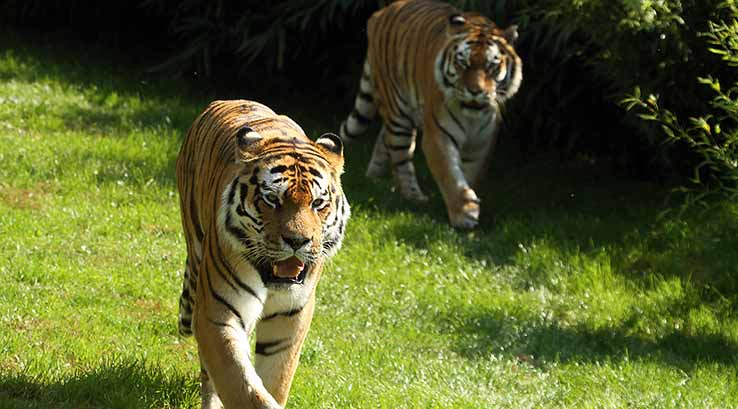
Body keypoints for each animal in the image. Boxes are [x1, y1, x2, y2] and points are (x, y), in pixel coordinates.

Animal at [176, 100, 350, 409]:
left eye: (318, 203)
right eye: (272, 199)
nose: (298, 241)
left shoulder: (290, 319)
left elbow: (275, 378)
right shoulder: (217, 312)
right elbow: (238, 381)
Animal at [339, 0, 522, 229]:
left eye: (491, 66)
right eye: (463, 64)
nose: (475, 91)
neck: (472, 116)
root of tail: (381, 12)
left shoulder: (484, 141)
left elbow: (471, 173)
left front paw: (469, 200)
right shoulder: (438, 135)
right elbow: (449, 173)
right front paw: (464, 213)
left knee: (385, 137)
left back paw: (374, 176)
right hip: (398, 111)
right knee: (400, 156)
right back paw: (413, 196)